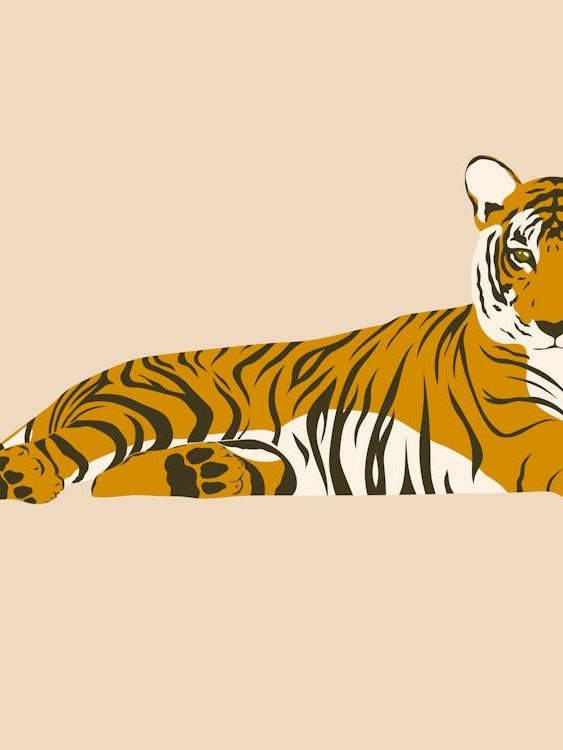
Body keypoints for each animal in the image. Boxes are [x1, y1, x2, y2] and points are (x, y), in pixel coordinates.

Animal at [2, 154, 563, 505]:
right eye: (521, 255)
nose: (552, 325)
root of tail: (82, 383)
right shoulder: (521, 434)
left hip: (277, 459)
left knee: (112, 482)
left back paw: (204, 471)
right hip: (155, 406)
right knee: (76, 451)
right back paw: (24, 477)